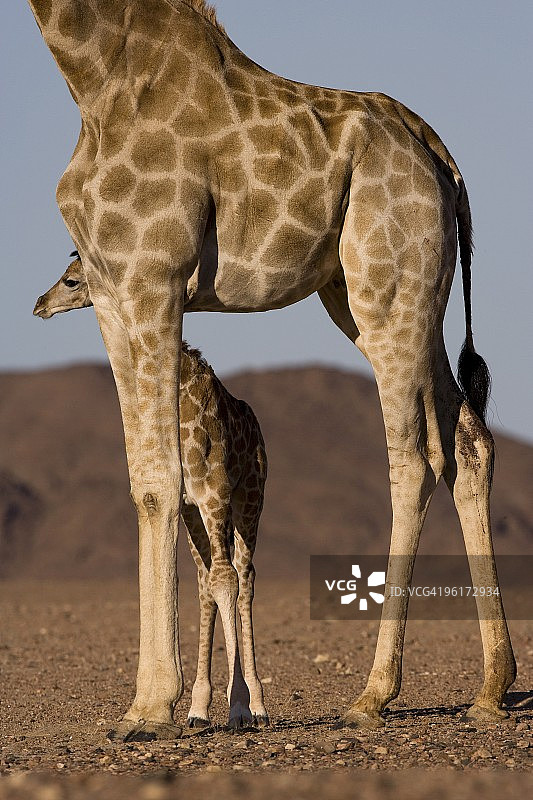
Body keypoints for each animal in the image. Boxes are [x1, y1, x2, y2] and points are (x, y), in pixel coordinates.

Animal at [33, 254, 269, 733]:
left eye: (71, 280)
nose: (39, 304)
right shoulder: (190, 504)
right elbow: (210, 582)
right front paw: (202, 706)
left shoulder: (216, 495)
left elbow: (229, 580)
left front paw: (239, 707)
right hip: (201, 517)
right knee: (207, 581)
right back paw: (200, 708)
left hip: (249, 500)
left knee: (243, 575)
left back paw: (257, 705)